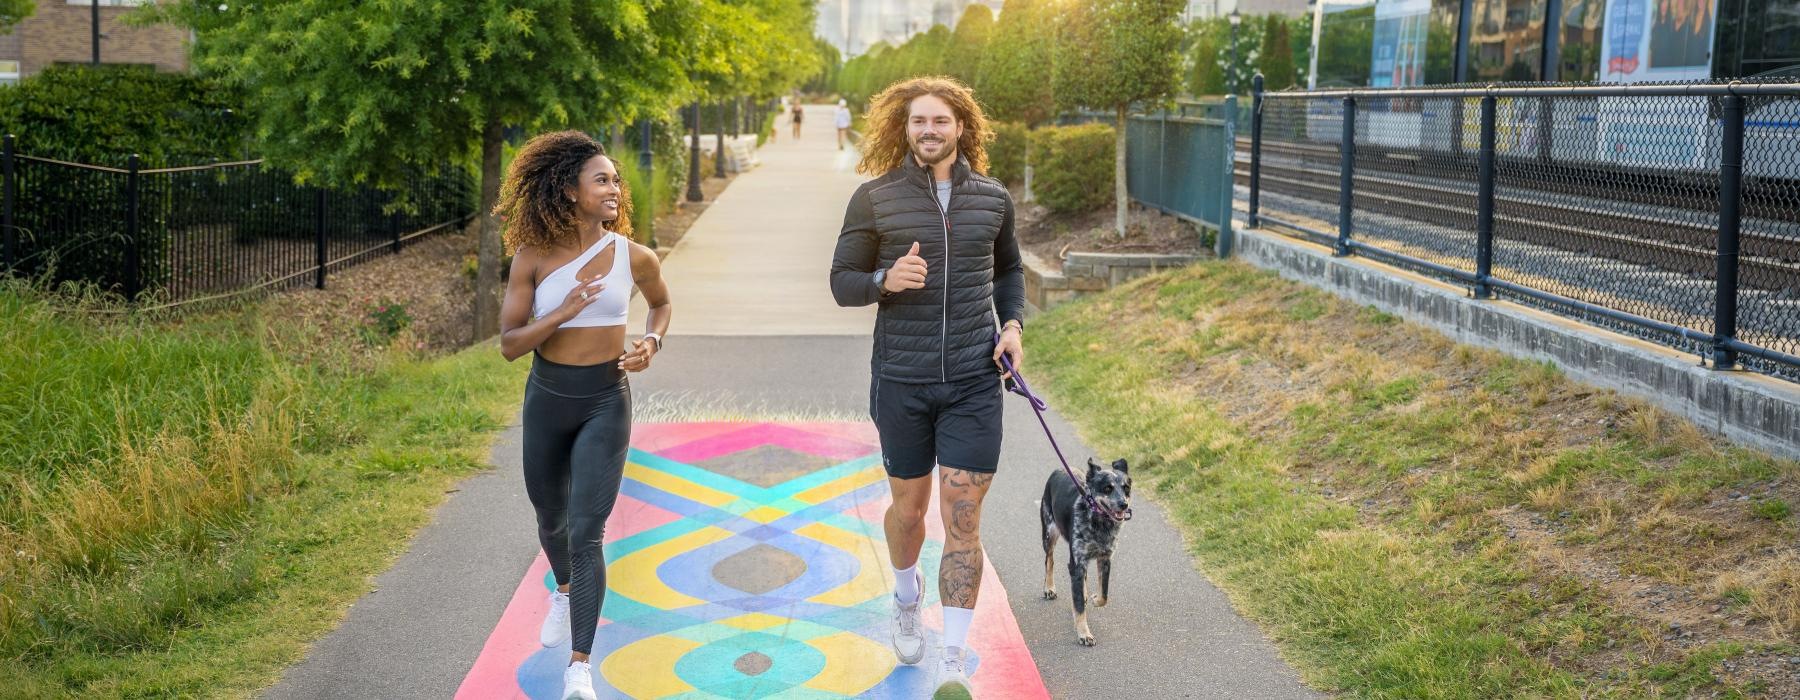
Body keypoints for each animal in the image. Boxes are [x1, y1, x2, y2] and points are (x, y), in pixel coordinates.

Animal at [1044, 458, 1123, 644]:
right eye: (1107, 488)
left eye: (1126, 487)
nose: (1124, 504)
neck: (1100, 524)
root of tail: (1059, 469)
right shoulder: (1076, 563)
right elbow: (1079, 606)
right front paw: (1084, 634)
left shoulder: (1105, 559)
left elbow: (1104, 595)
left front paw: (1095, 599)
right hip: (1050, 533)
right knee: (1049, 560)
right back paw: (1049, 588)